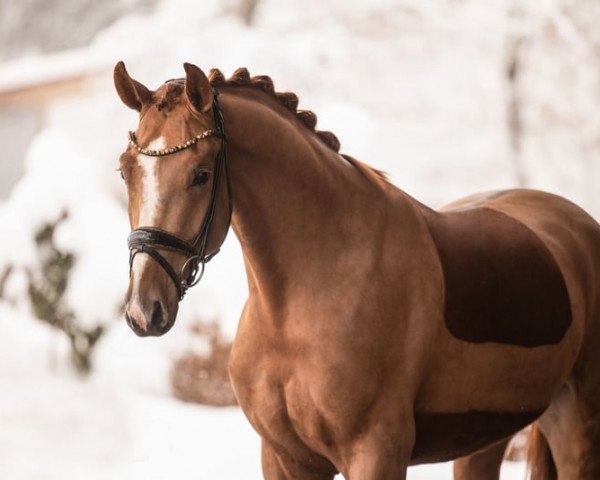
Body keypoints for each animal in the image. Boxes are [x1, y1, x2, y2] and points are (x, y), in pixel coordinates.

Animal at [113, 62, 600, 478]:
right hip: (486, 436)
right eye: (125, 172)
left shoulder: (376, 453)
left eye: (200, 174)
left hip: (577, 427)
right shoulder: (286, 458)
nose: (143, 310)